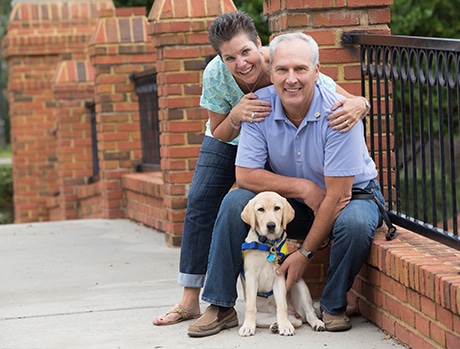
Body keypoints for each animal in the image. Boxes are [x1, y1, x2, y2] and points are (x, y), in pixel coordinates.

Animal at [239, 192, 326, 336]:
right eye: (260, 209)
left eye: (277, 208)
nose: (271, 225)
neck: (268, 245)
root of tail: (295, 312)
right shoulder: (251, 275)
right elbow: (250, 306)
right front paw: (247, 327)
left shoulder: (279, 276)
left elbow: (282, 305)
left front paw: (285, 326)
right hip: (262, 318)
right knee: (296, 321)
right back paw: (275, 325)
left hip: (300, 286)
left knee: (308, 314)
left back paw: (316, 323)